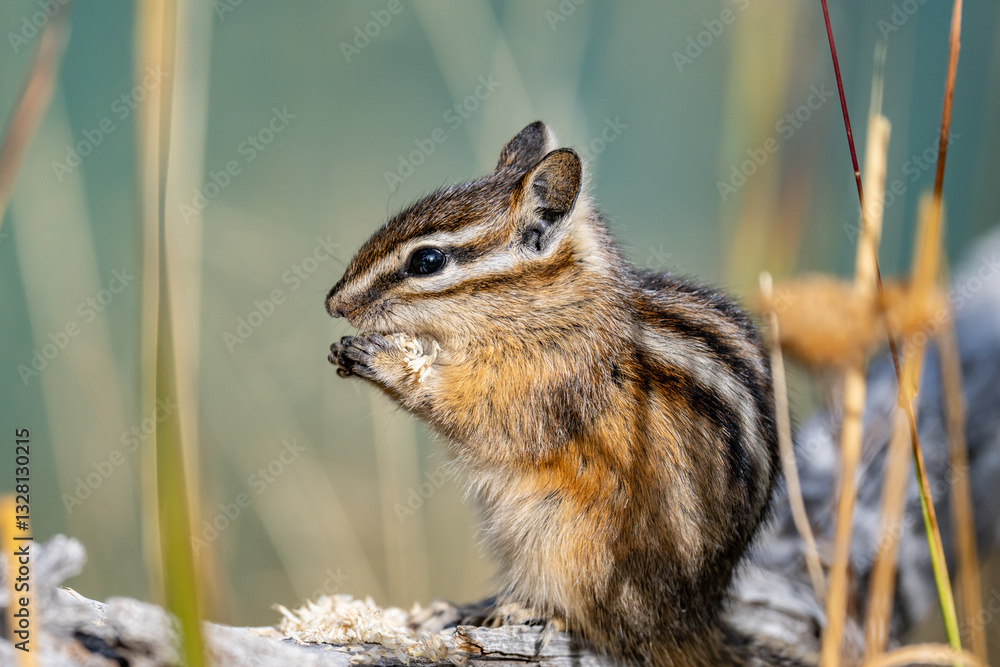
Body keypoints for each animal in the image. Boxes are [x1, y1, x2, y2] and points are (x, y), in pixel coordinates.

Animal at [326, 121, 805, 666]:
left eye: (427, 260)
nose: (333, 303)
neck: (557, 304)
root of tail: (692, 626)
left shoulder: (546, 382)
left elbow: (477, 413)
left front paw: (384, 364)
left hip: (568, 543)